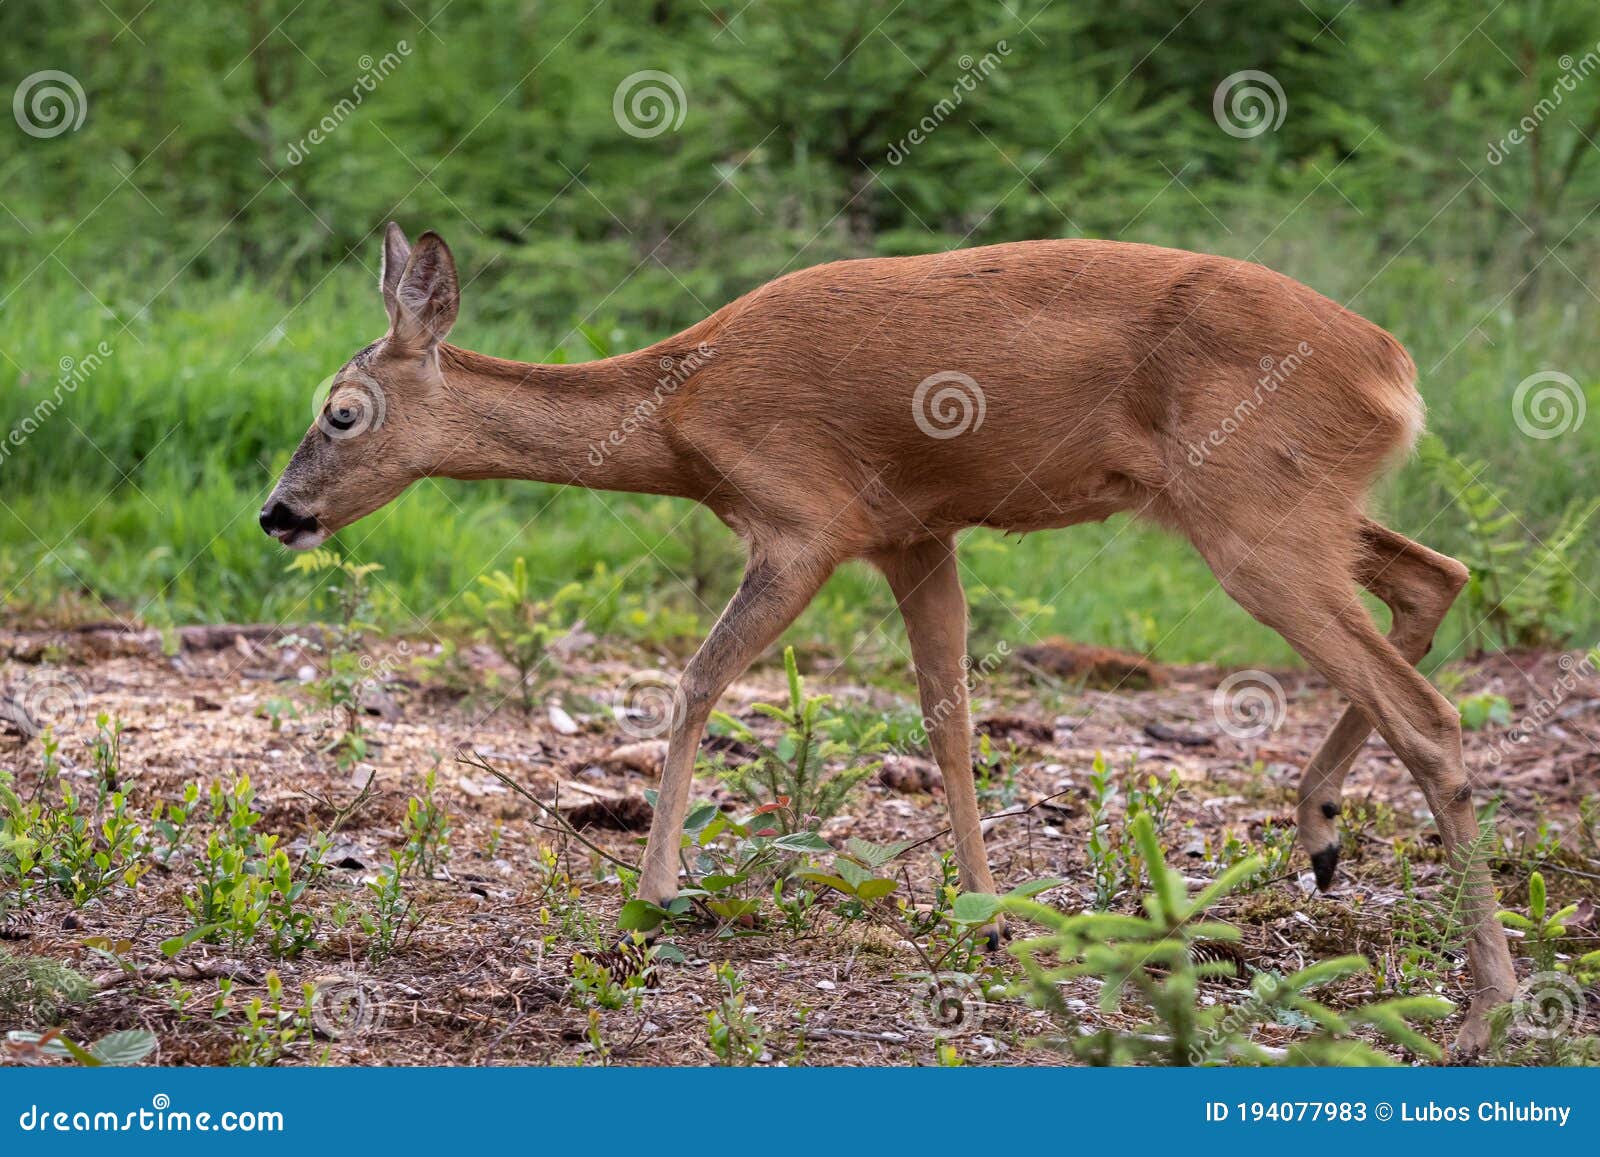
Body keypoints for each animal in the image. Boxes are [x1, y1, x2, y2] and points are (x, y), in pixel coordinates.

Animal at [259, 222, 1510, 1056]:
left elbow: (693, 684)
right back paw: (1321, 830)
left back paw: (1485, 1001)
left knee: (1432, 708)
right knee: (1438, 577)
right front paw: (986, 914)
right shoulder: (917, 532)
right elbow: (947, 719)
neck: (675, 416)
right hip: (1285, 508)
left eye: (341, 411)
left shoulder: (803, 521)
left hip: (1254, 513)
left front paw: (654, 899)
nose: (278, 512)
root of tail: (1392, 368)